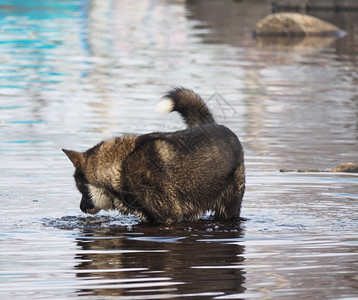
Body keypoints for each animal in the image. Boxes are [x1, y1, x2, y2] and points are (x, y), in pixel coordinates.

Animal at [63, 86, 245, 223]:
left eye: (81, 189)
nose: (81, 208)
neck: (121, 166)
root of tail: (215, 125)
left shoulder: (169, 216)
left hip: (229, 206)